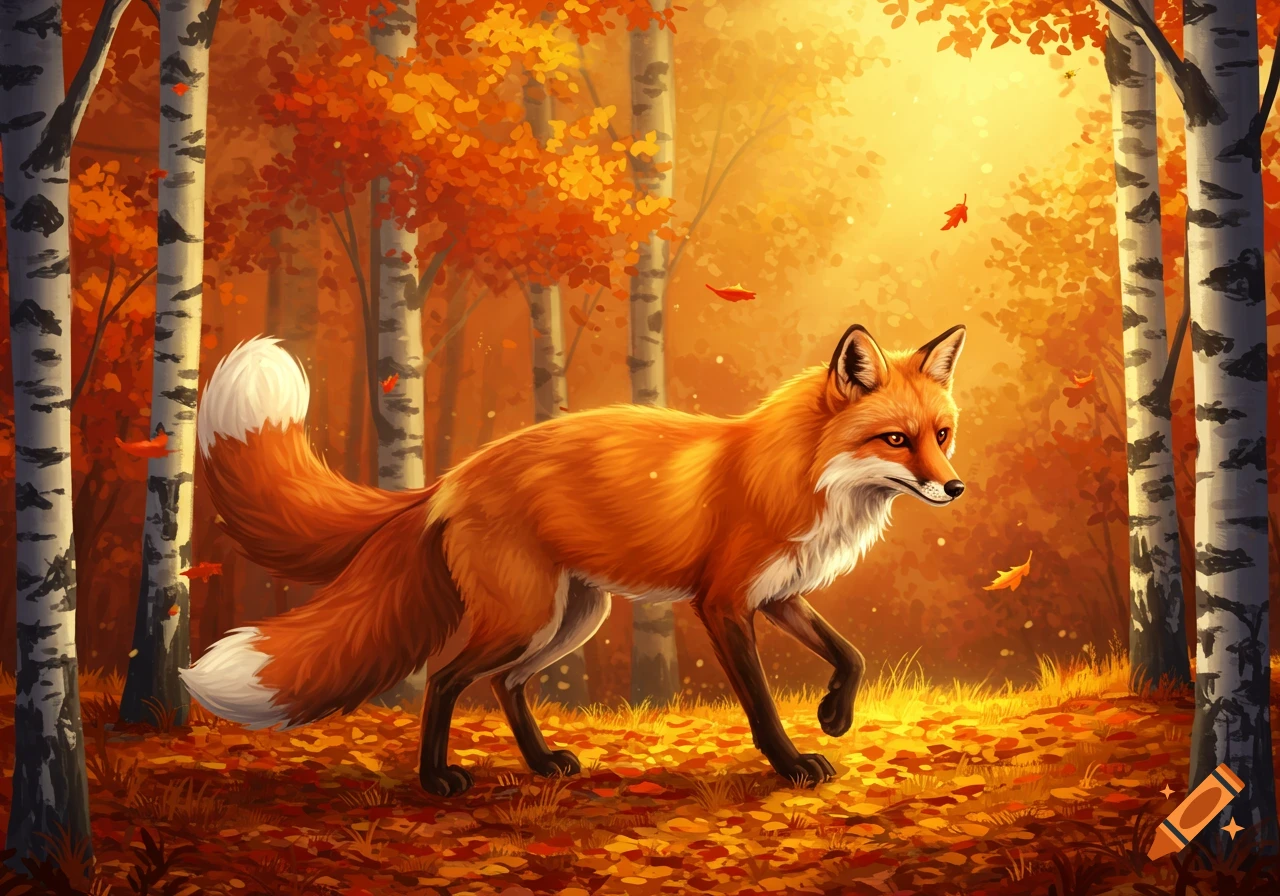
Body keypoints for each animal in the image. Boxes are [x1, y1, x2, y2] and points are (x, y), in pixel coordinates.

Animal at [181, 322, 967, 795]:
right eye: (896, 440)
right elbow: (763, 704)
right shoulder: (722, 602)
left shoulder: (776, 595)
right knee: (445, 676)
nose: (955, 488)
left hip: (571, 619)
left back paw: (540, 764)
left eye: (942, 435)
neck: (799, 473)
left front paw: (834, 713)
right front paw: (794, 762)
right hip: (525, 617)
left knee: (505, 686)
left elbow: (849, 653)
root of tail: (451, 477)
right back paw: (437, 780)